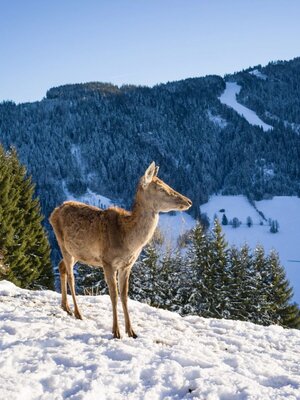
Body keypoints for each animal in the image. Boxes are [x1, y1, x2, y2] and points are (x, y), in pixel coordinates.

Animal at [49, 162, 192, 338]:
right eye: (160, 187)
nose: (188, 201)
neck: (127, 240)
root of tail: (54, 212)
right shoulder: (108, 262)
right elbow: (114, 295)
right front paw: (116, 331)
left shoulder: (127, 265)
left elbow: (124, 296)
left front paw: (131, 331)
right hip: (62, 243)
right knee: (71, 277)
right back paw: (78, 312)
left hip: (77, 252)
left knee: (61, 267)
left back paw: (65, 307)